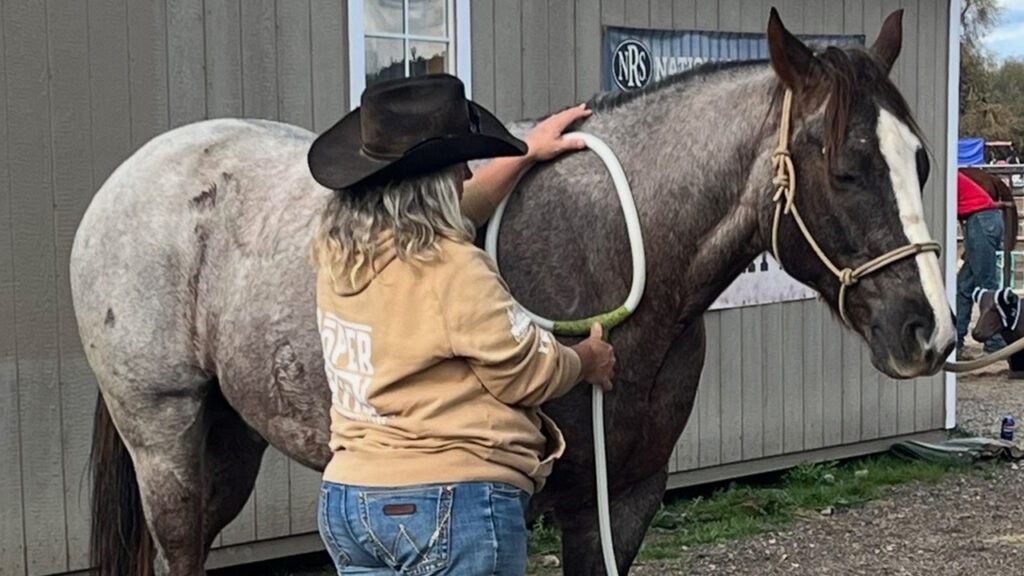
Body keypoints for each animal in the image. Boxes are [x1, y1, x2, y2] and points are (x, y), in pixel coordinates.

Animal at [71, 9, 954, 576]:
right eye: (844, 168)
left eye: (920, 161)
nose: (932, 333)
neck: (608, 247)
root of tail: (126, 182)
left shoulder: (623, 499)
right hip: (166, 444)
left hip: (230, 438)